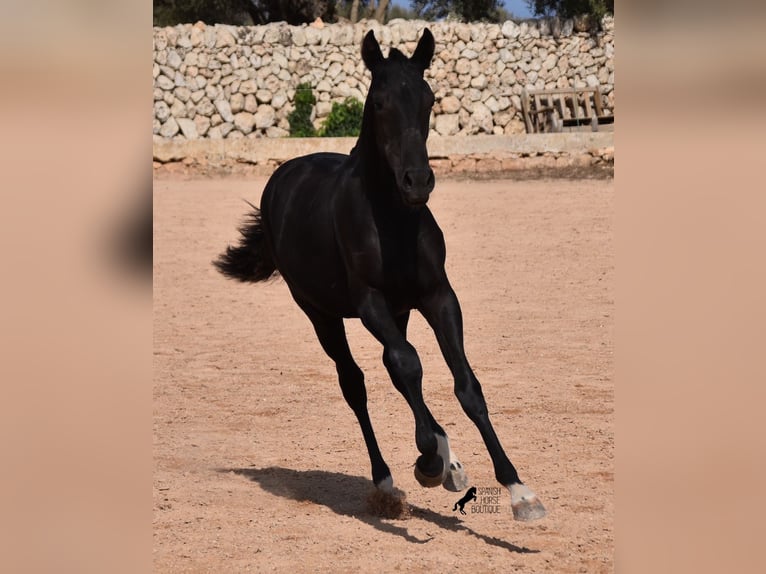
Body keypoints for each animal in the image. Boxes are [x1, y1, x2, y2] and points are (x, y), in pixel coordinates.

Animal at [214, 28, 544, 520]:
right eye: (381, 102)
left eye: (428, 99)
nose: (418, 182)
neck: (393, 220)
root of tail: (284, 174)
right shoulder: (369, 302)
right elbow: (406, 364)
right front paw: (429, 462)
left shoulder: (438, 296)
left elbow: (464, 383)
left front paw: (518, 490)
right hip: (320, 313)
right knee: (358, 382)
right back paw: (390, 480)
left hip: (399, 310)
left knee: (396, 370)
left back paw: (448, 460)